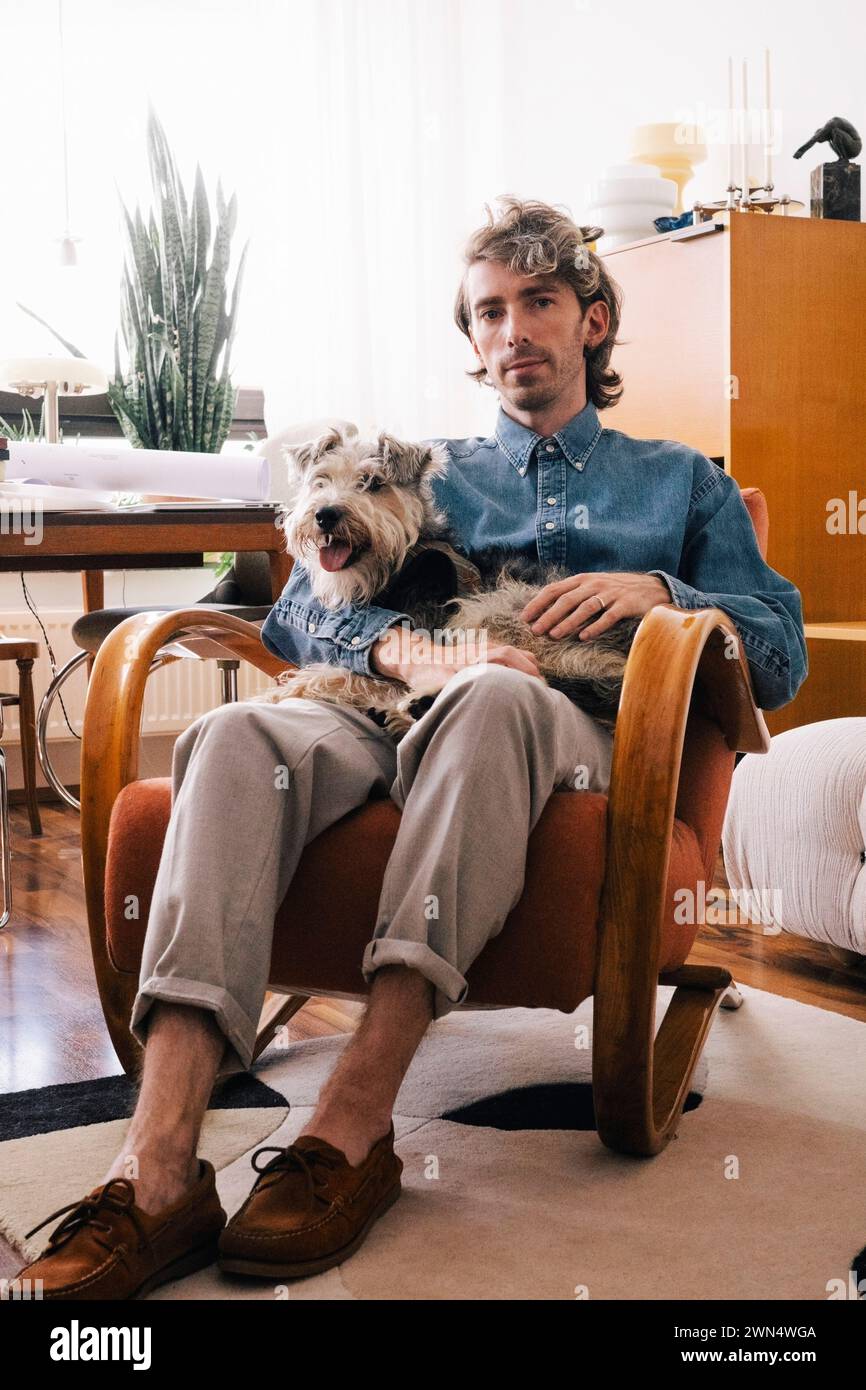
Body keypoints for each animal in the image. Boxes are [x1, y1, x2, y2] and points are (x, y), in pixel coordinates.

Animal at [250, 425, 644, 739]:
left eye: (374, 483)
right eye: (321, 481)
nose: (326, 514)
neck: (401, 558)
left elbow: (337, 674)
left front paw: (275, 695)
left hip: (496, 612)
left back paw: (417, 704)